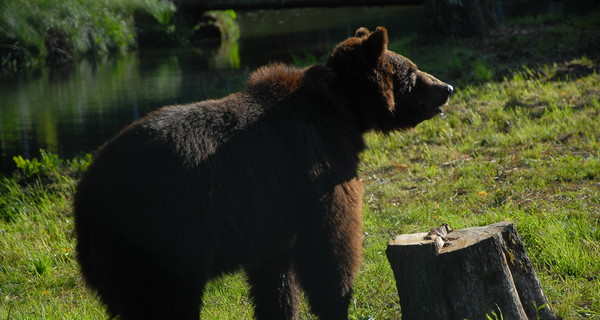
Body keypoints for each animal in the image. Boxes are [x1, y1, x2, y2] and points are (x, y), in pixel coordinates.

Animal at [72, 27, 452, 320]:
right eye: (412, 71)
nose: (446, 87)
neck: (343, 109)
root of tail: (86, 194)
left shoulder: (273, 214)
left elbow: (275, 276)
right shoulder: (314, 169)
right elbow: (331, 246)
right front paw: (338, 303)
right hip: (159, 237)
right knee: (165, 303)